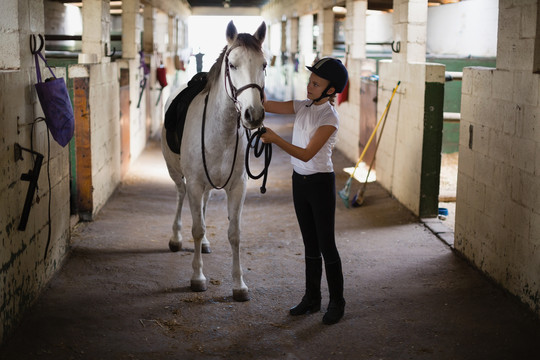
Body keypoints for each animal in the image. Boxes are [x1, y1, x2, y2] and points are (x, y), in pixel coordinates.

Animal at [162, 20, 268, 300]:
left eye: (264, 64)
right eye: (232, 65)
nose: (253, 115)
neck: (221, 130)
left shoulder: (238, 187)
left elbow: (234, 233)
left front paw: (239, 285)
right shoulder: (195, 184)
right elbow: (196, 229)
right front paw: (198, 278)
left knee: (204, 205)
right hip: (177, 174)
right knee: (180, 195)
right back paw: (175, 238)